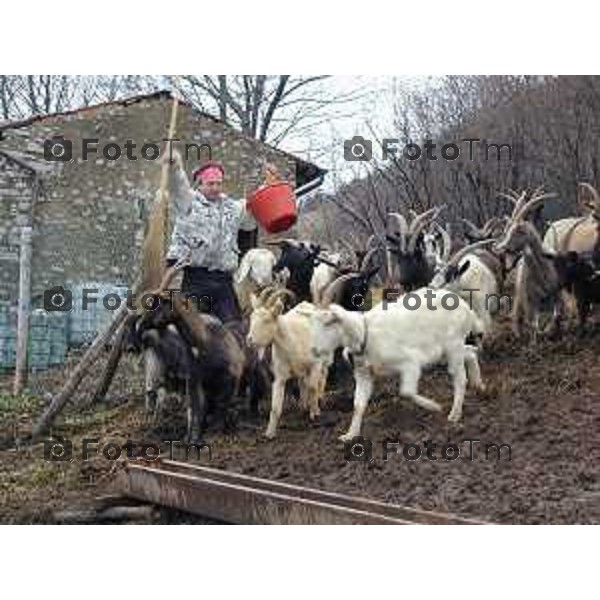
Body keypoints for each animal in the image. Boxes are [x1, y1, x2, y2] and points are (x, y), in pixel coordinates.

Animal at [310, 288, 488, 440]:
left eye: (328, 323)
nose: (313, 350)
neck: (365, 333)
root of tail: (467, 309)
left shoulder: (410, 362)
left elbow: (407, 391)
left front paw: (434, 406)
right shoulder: (363, 374)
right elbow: (358, 405)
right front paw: (350, 435)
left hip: (453, 346)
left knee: (460, 378)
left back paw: (454, 414)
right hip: (445, 351)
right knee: (471, 352)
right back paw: (479, 386)